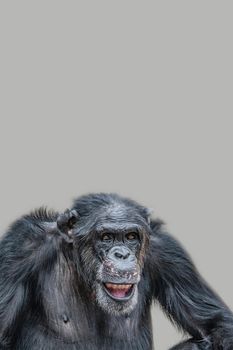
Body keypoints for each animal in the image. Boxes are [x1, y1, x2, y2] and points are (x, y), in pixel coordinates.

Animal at [0, 193, 231, 348]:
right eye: (106, 237)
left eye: (131, 237)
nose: (122, 254)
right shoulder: (19, 250)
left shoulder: (171, 256)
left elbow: (215, 324)